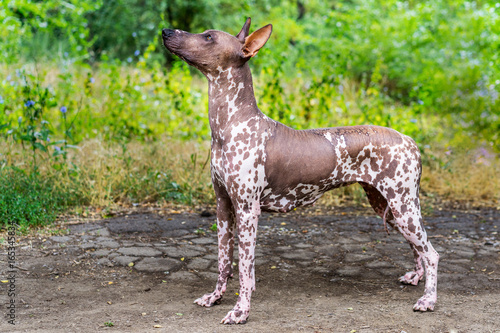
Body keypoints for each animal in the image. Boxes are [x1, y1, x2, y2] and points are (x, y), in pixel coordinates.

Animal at [162, 17, 440, 322]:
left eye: (208, 37)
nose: (166, 31)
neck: (232, 124)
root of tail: (410, 140)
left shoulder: (247, 211)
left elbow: (246, 270)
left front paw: (240, 311)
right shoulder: (223, 207)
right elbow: (224, 261)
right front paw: (215, 297)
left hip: (402, 206)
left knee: (431, 253)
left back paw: (428, 299)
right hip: (388, 206)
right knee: (418, 248)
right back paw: (416, 277)